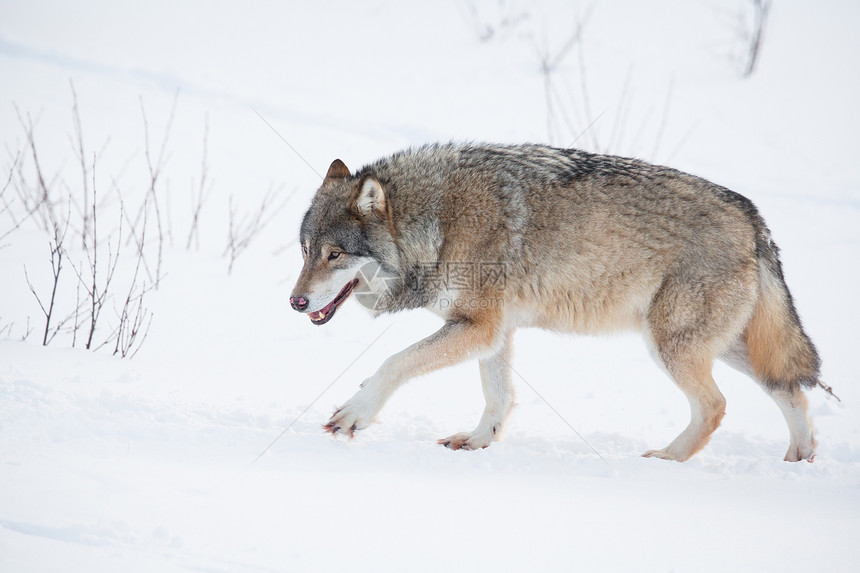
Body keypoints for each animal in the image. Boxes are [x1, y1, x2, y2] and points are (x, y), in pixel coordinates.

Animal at [290, 143, 828, 460]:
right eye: (305, 250)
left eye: (335, 254)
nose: (295, 302)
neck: (438, 222)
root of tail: (753, 217)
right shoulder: (493, 332)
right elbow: (498, 395)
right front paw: (479, 442)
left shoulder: (478, 328)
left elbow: (393, 363)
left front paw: (355, 413)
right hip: (723, 346)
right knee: (790, 389)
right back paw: (800, 460)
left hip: (670, 345)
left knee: (716, 406)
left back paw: (666, 460)